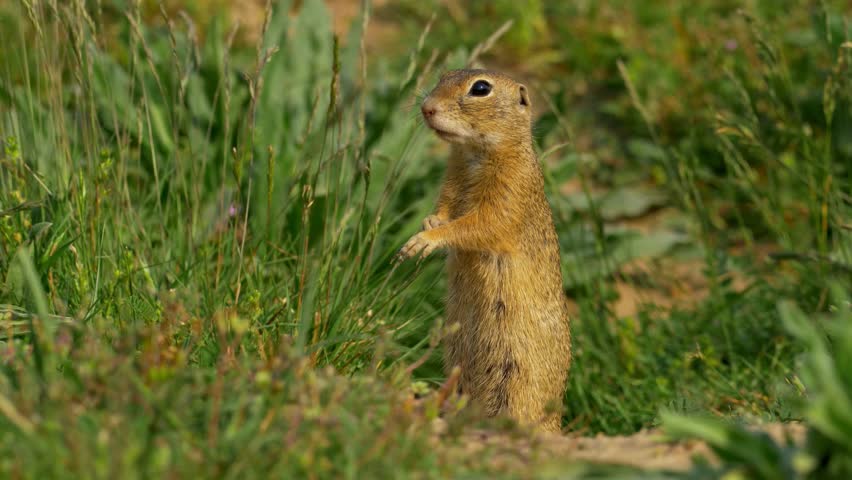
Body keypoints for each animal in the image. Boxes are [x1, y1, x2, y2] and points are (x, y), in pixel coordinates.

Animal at [395, 69, 572, 433]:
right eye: (443, 76)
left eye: (480, 88)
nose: (426, 107)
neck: (473, 154)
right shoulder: (451, 181)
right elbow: (445, 209)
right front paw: (429, 223)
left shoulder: (507, 197)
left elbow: (476, 225)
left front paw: (426, 240)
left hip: (518, 378)